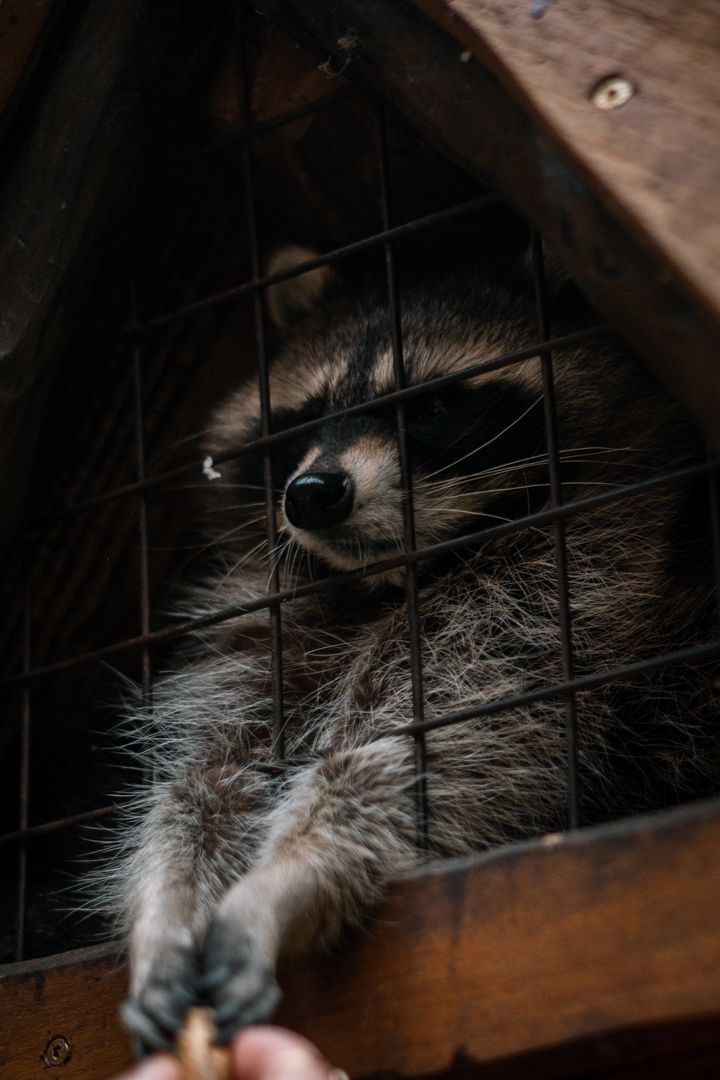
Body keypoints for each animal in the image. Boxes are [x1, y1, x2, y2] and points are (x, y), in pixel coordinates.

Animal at [103, 249, 720, 1054]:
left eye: (431, 408)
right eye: (308, 415)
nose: (314, 491)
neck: (389, 582)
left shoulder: (560, 603)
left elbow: (428, 760)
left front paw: (288, 878)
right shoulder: (271, 644)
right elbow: (212, 781)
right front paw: (167, 913)